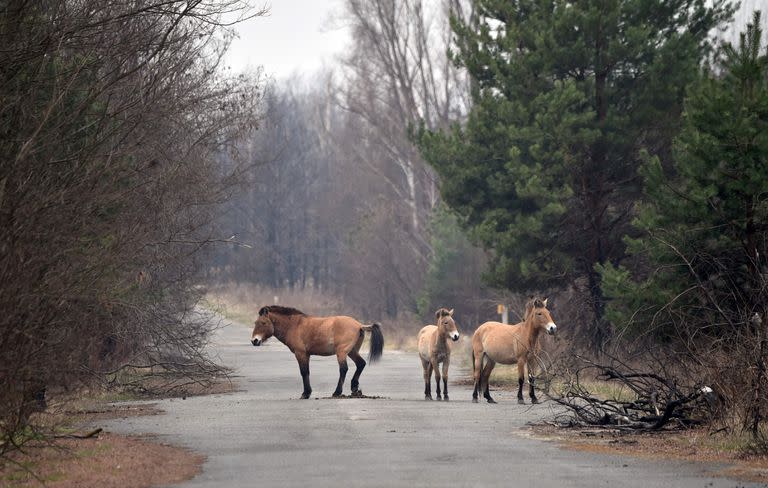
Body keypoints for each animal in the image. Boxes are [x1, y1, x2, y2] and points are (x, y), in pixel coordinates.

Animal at [250, 304, 384, 400]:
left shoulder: (300, 354)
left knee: (343, 369)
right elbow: (307, 372)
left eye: (263, 323)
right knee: (361, 364)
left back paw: (337, 392)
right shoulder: (307, 355)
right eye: (255, 323)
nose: (254, 341)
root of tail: (359, 325)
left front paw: (305, 393)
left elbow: (304, 372)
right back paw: (354, 388)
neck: (294, 325)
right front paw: (307, 392)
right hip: (352, 352)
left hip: (342, 352)